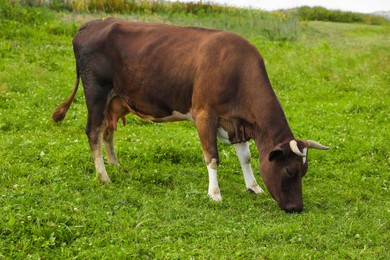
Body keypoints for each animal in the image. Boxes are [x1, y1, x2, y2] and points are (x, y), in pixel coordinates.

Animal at [51, 18, 328, 213]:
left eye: (304, 172)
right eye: (290, 171)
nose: (296, 208)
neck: (238, 72)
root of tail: (93, 23)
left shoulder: (236, 122)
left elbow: (247, 157)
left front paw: (254, 186)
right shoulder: (205, 114)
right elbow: (212, 157)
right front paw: (214, 194)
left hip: (117, 100)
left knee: (108, 131)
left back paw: (116, 166)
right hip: (96, 92)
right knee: (94, 132)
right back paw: (104, 177)